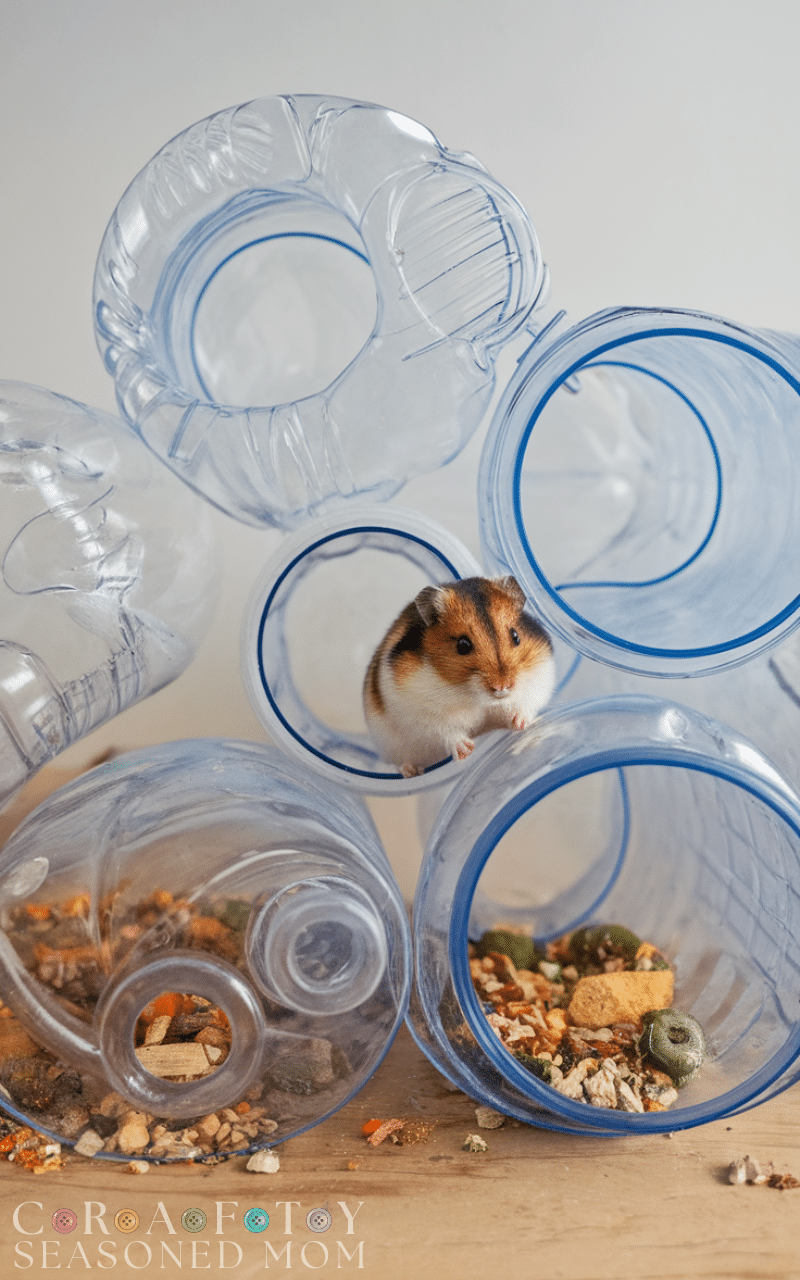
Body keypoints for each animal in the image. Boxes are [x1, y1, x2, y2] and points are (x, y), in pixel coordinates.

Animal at [363, 575, 556, 777]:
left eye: (516, 636)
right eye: (462, 645)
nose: (502, 687)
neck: (479, 698)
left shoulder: (540, 678)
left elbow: (527, 704)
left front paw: (520, 725)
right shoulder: (419, 711)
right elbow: (445, 731)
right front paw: (467, 750)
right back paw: (412, 772)